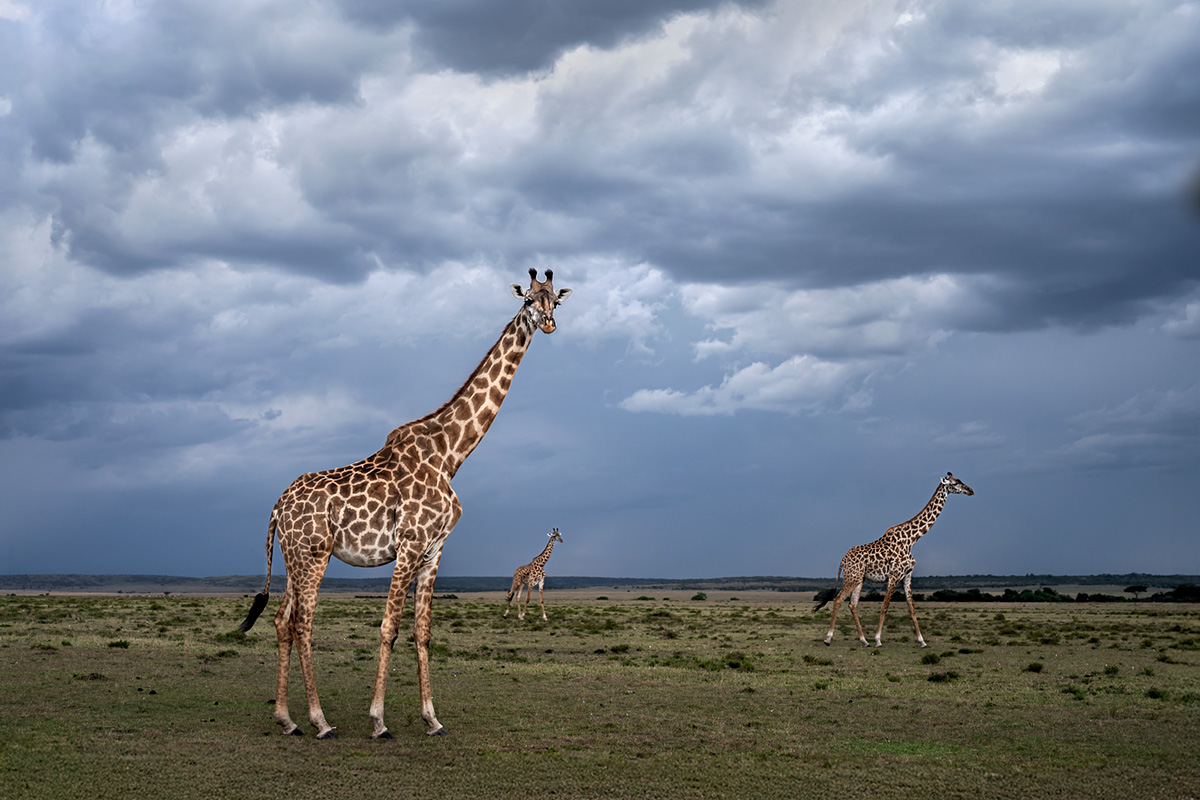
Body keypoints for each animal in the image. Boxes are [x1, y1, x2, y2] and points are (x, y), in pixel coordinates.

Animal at [236, 269, 572, 739]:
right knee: (302, 622)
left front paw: (432, 718)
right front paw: (379, 721)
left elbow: (422, 631)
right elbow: (389, 627)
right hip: (313, 556)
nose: (548, 324)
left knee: (283, 620)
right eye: (527, 301)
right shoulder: (410, 543)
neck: (451, 455)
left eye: (554, 301)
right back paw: (320, 721)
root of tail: (275, 508)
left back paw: (287, 720)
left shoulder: (435, 548)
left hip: (292, 558)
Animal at [814, 472, 974, 648]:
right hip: (852, 577)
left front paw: (922, 641)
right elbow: (885, 606)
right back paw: (828, 638)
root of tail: (843, 559)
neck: (912, 540)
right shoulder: (894, 575)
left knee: (852, 604)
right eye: (955, 483)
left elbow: (912, 608)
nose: (970, 490)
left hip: (859, 579)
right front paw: (878, 640)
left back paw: (864, 641)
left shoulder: (907, 576)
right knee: (838, 600)